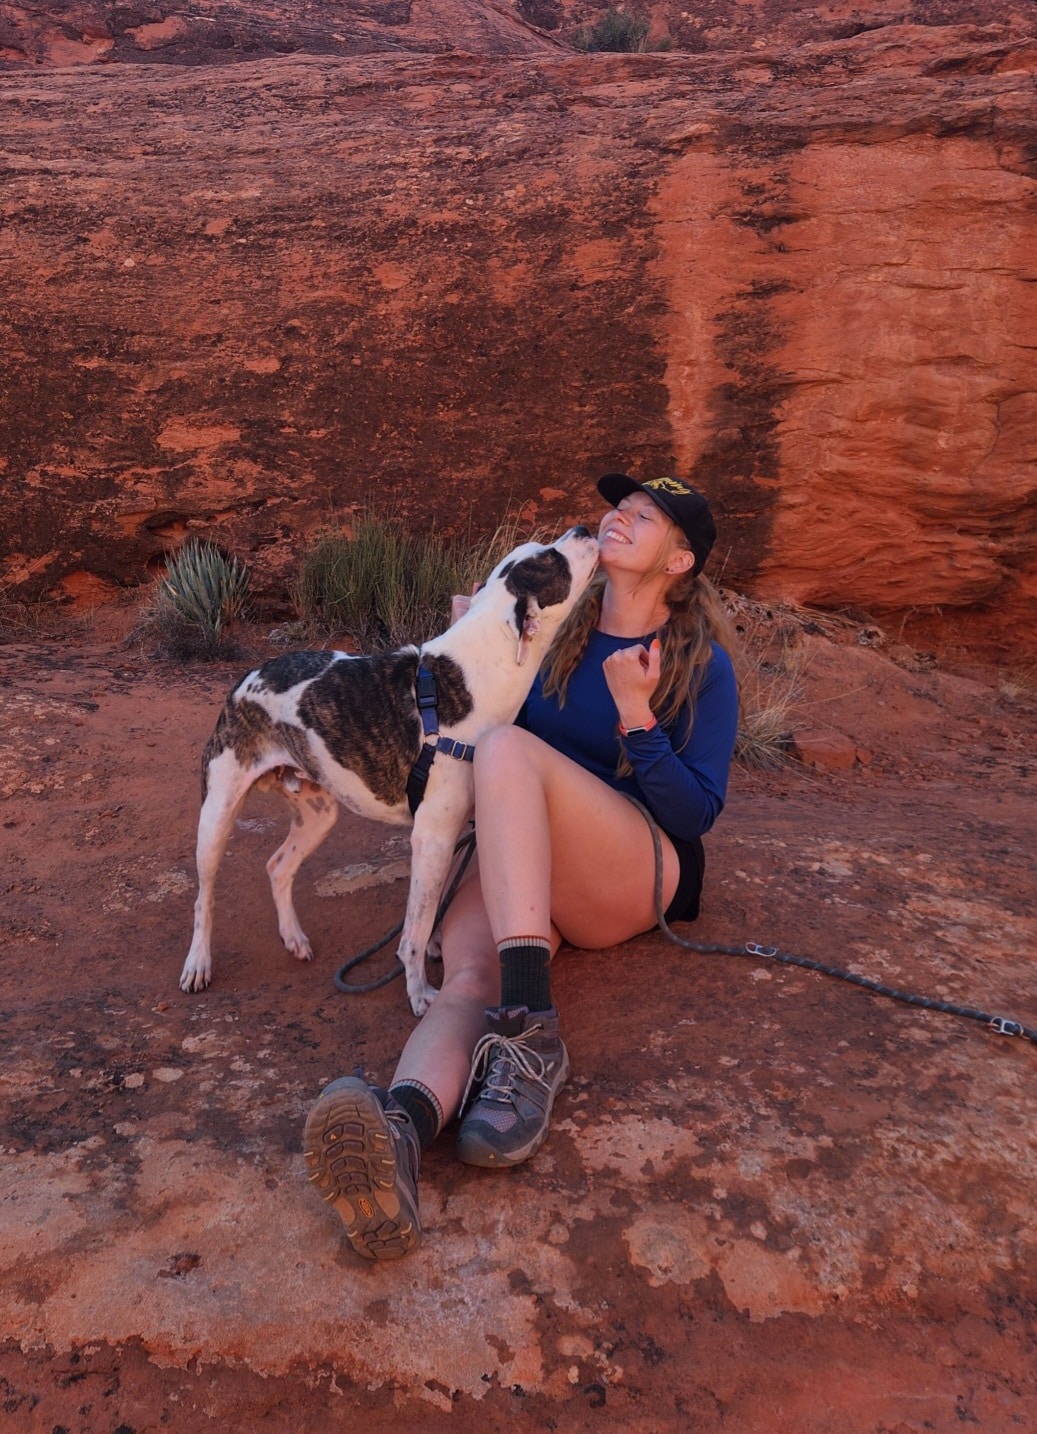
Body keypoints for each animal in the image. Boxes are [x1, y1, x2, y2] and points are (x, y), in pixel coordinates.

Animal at [179, 527, 599, 1013]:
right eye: (553, 559)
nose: (584, 530)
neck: (478, 670)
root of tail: (245, 678)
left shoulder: (448, 835)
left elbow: (428, 913)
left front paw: (431, 950)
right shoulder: (432, 837)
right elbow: (413, 930)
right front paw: (418, 991)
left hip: (318, 815)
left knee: (278, 866)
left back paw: (294, 938)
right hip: (216, 816)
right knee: (204, 898)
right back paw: (198, 962)